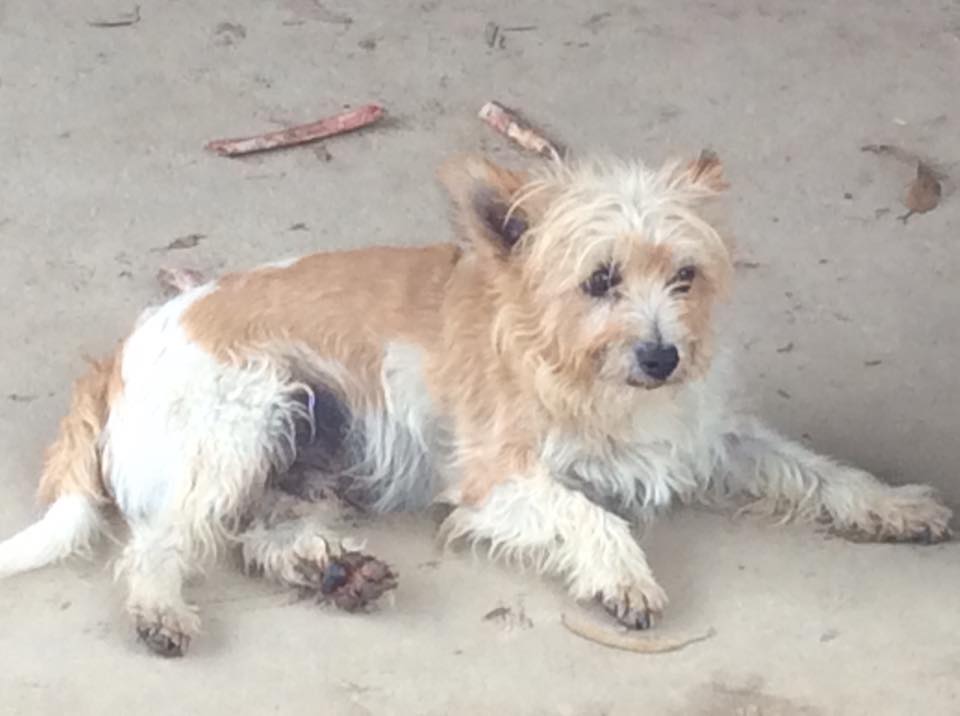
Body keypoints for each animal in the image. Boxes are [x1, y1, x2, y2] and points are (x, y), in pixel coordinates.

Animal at [0, 152, 951, 656]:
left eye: (685, 275)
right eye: (599, 280)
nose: (663, 356)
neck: (580, 370)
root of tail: (118, 355)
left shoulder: (706, 438)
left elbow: (818, 470)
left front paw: (894, 504)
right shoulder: (500, 480)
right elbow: (594, 515)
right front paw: (623, 579)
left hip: (305, 447)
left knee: (257, 535)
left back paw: (333, 570)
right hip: (248, 416)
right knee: (160, 544)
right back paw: (162, 609)